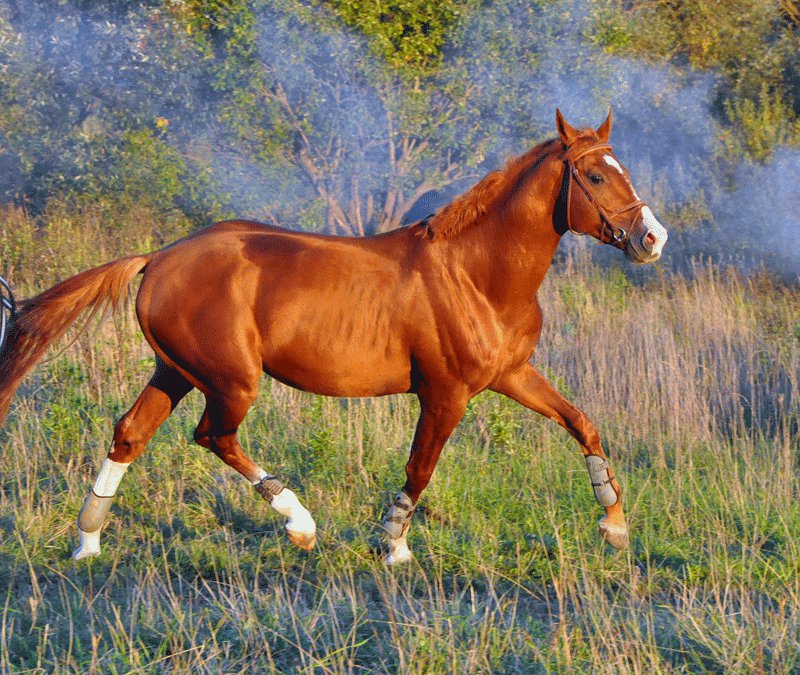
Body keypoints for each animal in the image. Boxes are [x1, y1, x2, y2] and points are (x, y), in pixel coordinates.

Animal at [0, 111, 664, 564]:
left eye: (621, 170)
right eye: (595, 175)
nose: (652, 239)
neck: (476, 274)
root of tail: (158, 257)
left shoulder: (511, 375)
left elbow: (582, 423)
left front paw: (614, 526)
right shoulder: (446, 393)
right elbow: (420, 468)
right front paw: (393, 546)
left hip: (177, 371)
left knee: (130, 433)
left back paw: (87, 541)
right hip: (230, 380)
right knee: (213, 436)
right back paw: (299, 523)